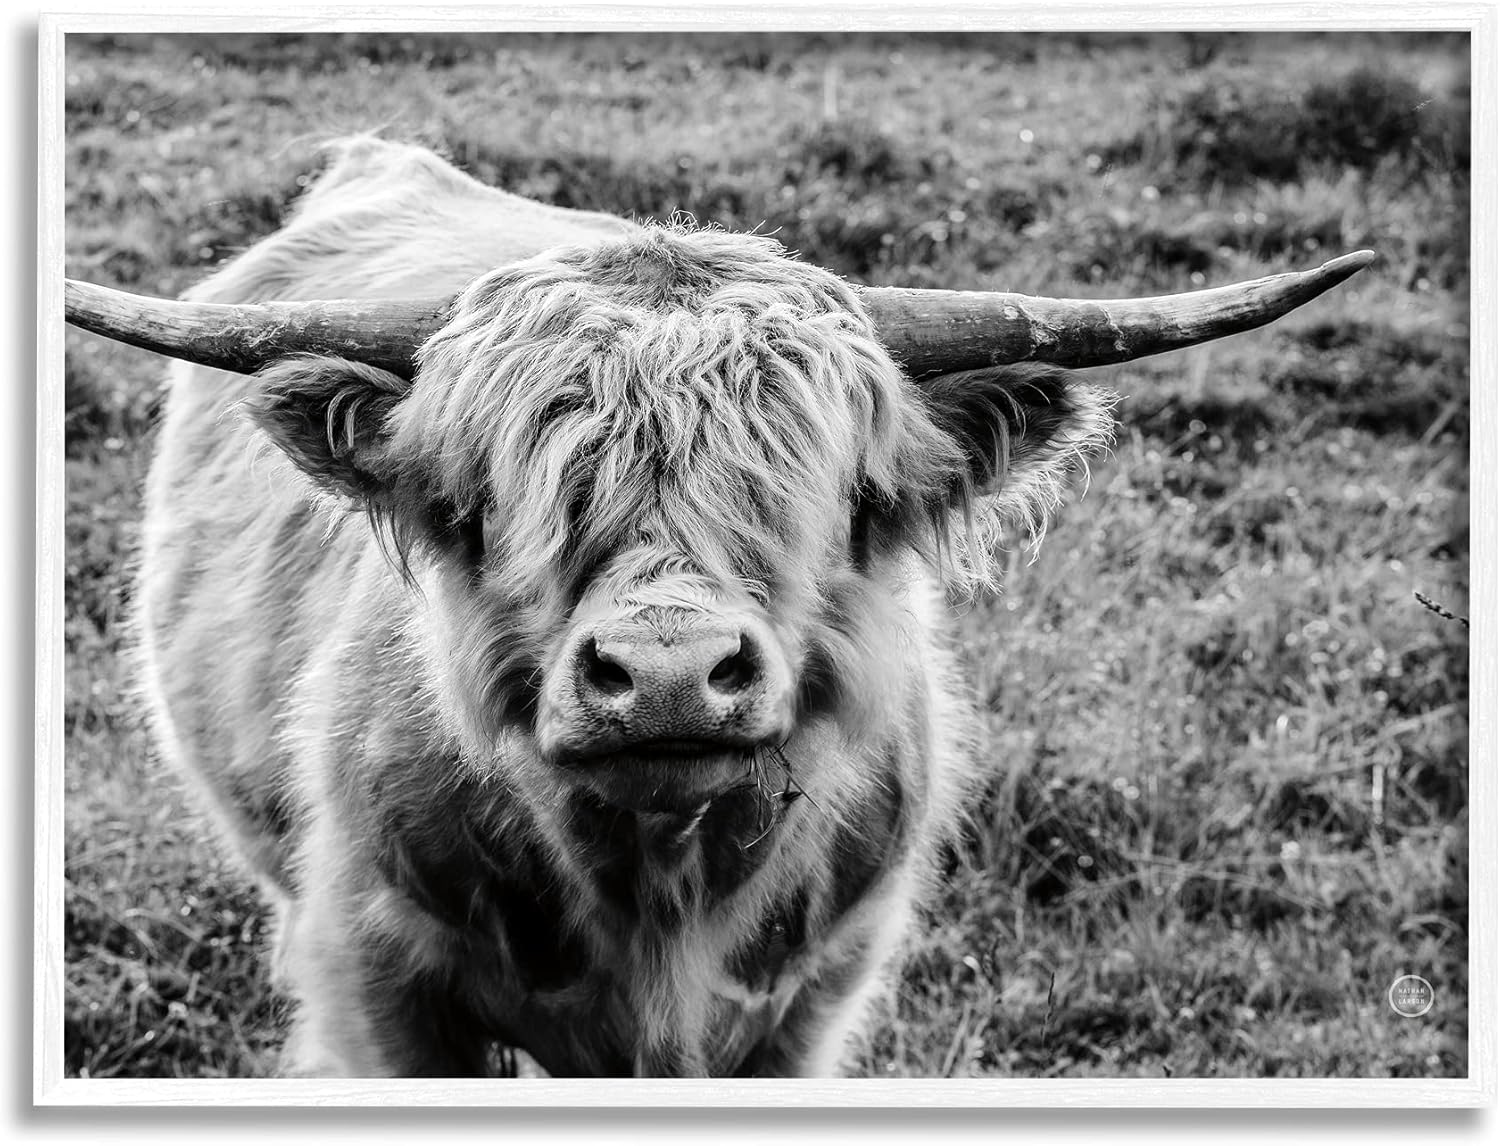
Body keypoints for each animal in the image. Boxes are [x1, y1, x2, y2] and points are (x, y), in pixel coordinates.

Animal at [65, 136, 1371, 1078]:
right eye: (504, 494)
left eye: (833, 492)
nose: (667, 676)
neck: (657, 894)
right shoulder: (378, 979)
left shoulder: (812, 1001)